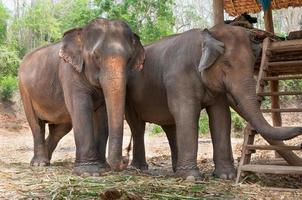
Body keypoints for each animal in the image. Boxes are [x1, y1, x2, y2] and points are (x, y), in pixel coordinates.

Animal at [17, 18, 145, 176]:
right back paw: (39, 163)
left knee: (60, 128)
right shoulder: (69, 72)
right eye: (96, 56)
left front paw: (102, 167)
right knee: (36, 123)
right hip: (24, 90)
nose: (125, 158)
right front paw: (88, 172)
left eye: (129, 59)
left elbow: (102, 115)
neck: (81, 34)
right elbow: (81, 109)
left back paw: (46, 159)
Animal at [125, 24, 302, 180]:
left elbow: (221, 116)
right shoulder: (178, 77)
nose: (300, 129)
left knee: (170, 127)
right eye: (227, 64)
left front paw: (225, 176)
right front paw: (191, 178)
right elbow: (187, 114)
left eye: (253, 64)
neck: (207, 33)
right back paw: (140, 169)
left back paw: (175, 171)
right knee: (138, 126)